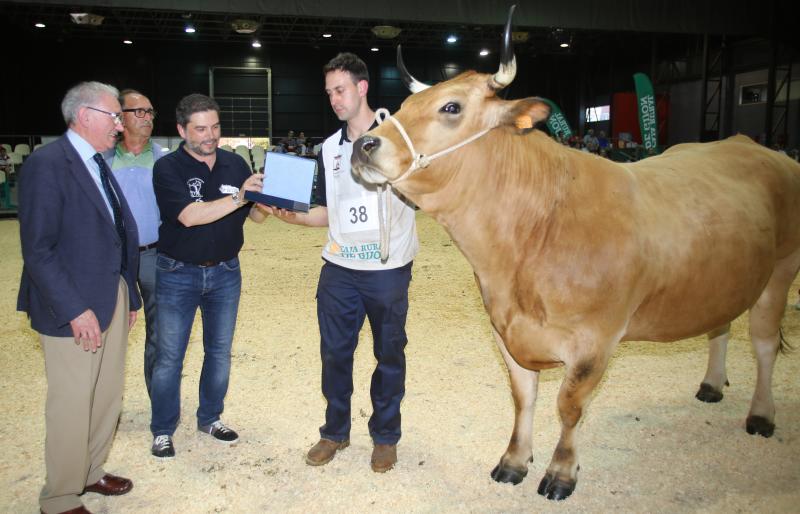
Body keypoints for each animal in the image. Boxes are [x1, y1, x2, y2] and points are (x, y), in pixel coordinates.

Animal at [348, 6, 800, 498]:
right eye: (402, 107)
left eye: (452, 107)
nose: (363, 144)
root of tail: (750, 145)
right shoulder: (506, 332)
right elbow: (523, 397)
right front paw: (514, 461)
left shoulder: (595, 342)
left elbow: (568, 406)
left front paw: (561, 472)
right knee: (720, 326)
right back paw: (712, 385)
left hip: (780, 271)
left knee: (763, 344)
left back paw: (761, 414)